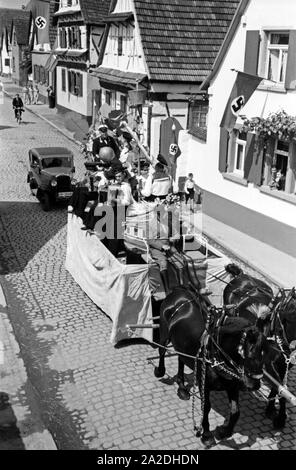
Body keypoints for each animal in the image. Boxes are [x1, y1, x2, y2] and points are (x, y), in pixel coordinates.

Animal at [154, 286, 268, 448]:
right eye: (246, 351)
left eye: (265, 351)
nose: (255, 384)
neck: (216, 355)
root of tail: (180, 291)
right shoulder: (204, 385)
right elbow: (206, 407)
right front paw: (206, 435)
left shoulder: (232, 386)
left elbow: (235, 411)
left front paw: (223, 431)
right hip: (164, 332)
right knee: (162, 351)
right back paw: (160, 371)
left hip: (182, 345)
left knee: (181, 360)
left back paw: (182, 388)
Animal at [223, 264, 296, 430]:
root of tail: (242, 275)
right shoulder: (269, 364)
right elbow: (281, 388)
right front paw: (280, 418)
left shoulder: (285, 364)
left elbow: (279, 386)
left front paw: (271, 408)